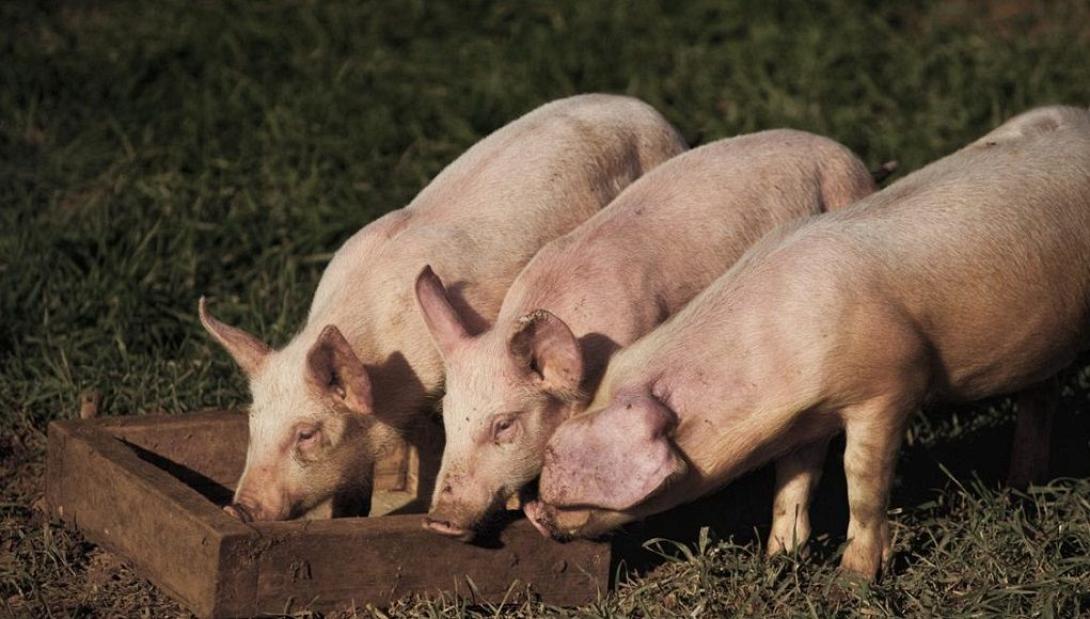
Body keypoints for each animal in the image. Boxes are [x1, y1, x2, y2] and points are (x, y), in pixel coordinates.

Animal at [528, 105, 1090, 581]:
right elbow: (793, 484)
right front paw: (778, 561)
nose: (532, 512)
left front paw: (853, 583)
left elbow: (861, 482)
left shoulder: (888, 387)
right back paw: (1019, 485)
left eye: (557, 458)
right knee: (1040, 396)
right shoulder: (803, 420)